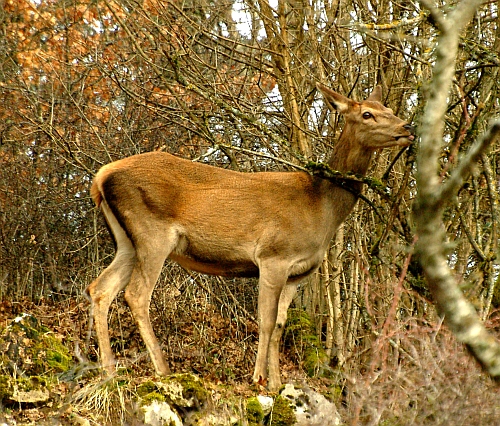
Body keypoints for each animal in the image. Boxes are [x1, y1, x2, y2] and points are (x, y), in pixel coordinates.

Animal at [85, 82, 414, 390]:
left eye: (387, 107)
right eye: (367, 114)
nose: (407, 127)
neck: (321, 206)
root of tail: (100, 177)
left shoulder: (297, 273)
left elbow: (280, 324)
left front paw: (278, 383)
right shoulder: (273, 255)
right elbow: (266, 321)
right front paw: (259, 378)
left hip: (127, 241)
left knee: (100, 288)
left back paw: (108, 371)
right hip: (152, 233)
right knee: (136, 294)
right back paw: (163, 370)